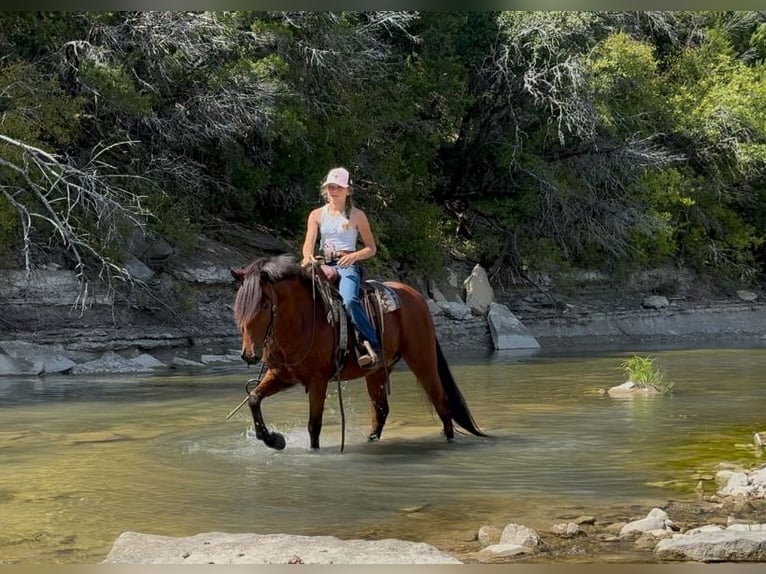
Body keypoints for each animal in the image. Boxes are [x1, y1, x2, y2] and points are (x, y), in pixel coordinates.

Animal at [230, 254, 487, 451]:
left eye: (264, 305)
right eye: (239, 305)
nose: (249, 354)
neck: (303, 319)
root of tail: (415, 296)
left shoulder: (318, 380)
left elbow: (314, 426)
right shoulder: (281, 376)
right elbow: (253, 399)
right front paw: (273, 440)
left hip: (422, 360)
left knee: (441, 401)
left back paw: (449, 443)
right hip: (377, 372)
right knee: (381, 411)